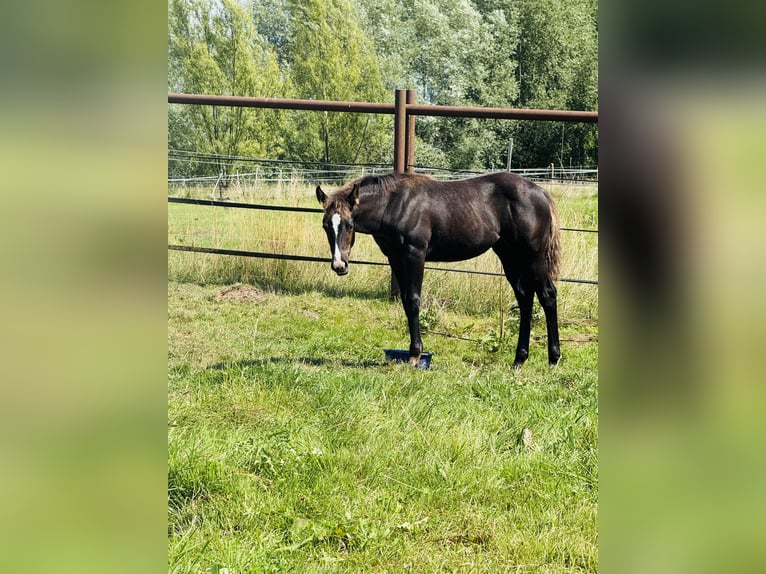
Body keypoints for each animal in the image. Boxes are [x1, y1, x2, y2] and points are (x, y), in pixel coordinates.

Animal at [315, 172, 561, 368]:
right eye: (326, 226)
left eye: (349, 224)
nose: (339, 265)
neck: (395, 204)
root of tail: (540, 192)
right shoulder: (395, 258)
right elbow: (406, 301)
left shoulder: (415, 254)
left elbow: (414, 300)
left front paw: (415, 355)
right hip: (510, 256)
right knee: (525, 298)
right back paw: (519, 359)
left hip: (533, 257)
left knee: (547, 295)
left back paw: (553, 358)